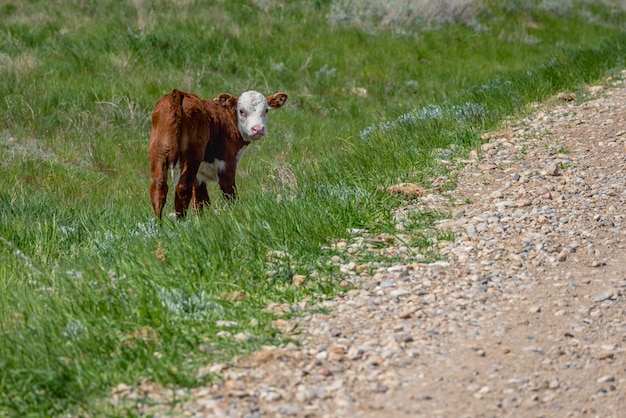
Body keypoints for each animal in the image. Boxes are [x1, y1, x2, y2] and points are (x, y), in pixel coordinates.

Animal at [149, 88, 288, 219]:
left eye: (266, 110)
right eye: (241, 111)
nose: (258, 129)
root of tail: (178, 93)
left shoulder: (200, 173)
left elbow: (200, 200)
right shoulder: (226, 163)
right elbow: (229, 193)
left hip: (159, 151)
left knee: (159, 186)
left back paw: (159, 224)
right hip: (192, 155)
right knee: (183, 187)